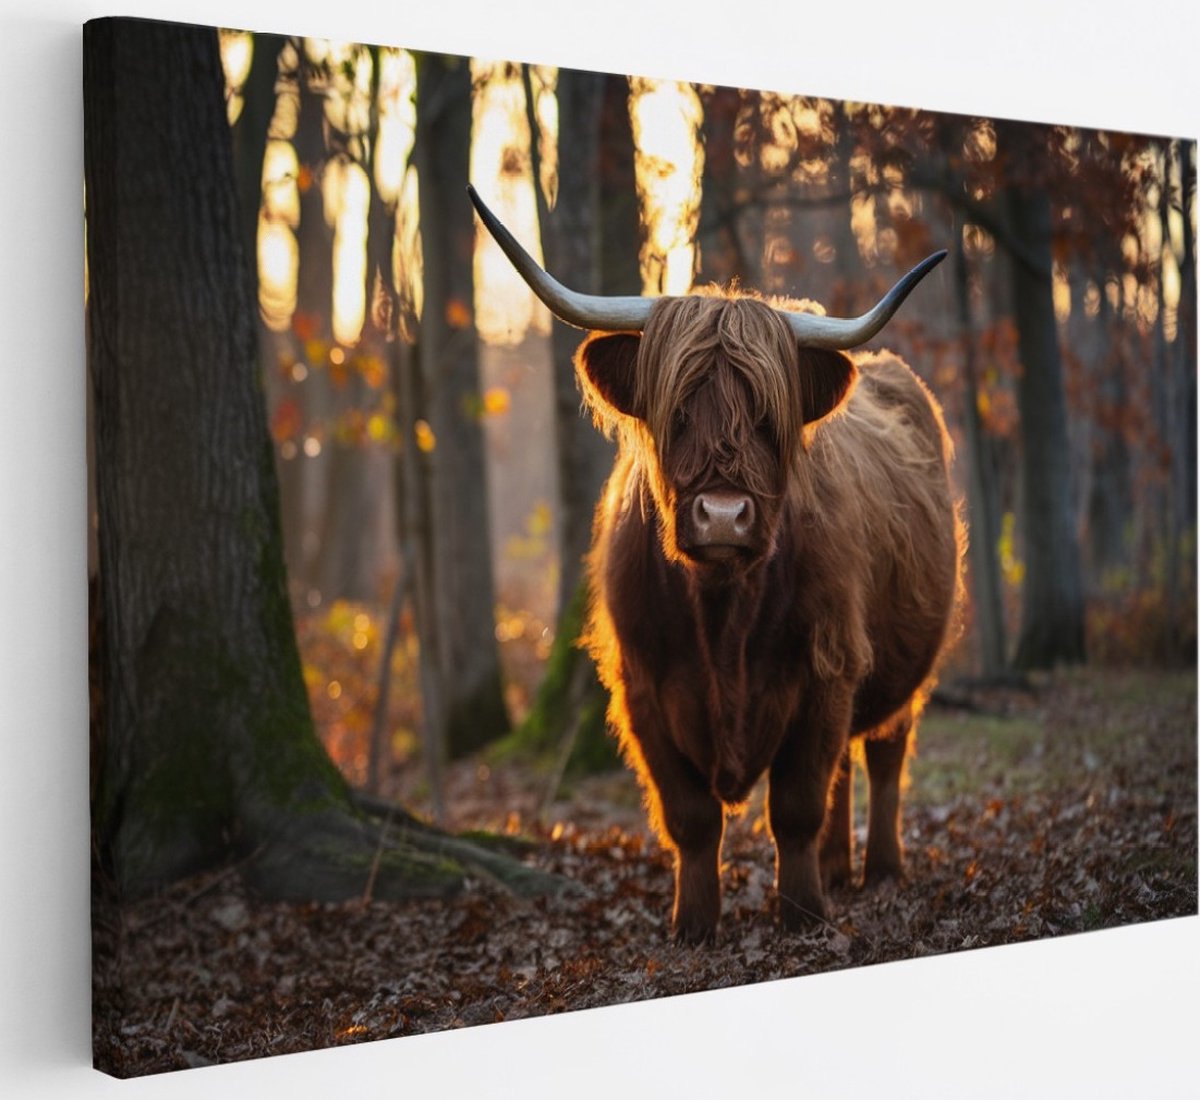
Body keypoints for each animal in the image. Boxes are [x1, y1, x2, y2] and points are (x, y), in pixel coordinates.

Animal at [468, 185, 964, 944]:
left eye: (766, 418)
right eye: (675, 411)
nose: (725, 516)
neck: (723, 612)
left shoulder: (823, 669)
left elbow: (795, 804)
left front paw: (801, 913)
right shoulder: (643, 687)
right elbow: (692, 818)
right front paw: (695, 924)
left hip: (896, 666)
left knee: (881, 755)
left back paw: (878, 867)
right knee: (846, 768)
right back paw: (839, 867)